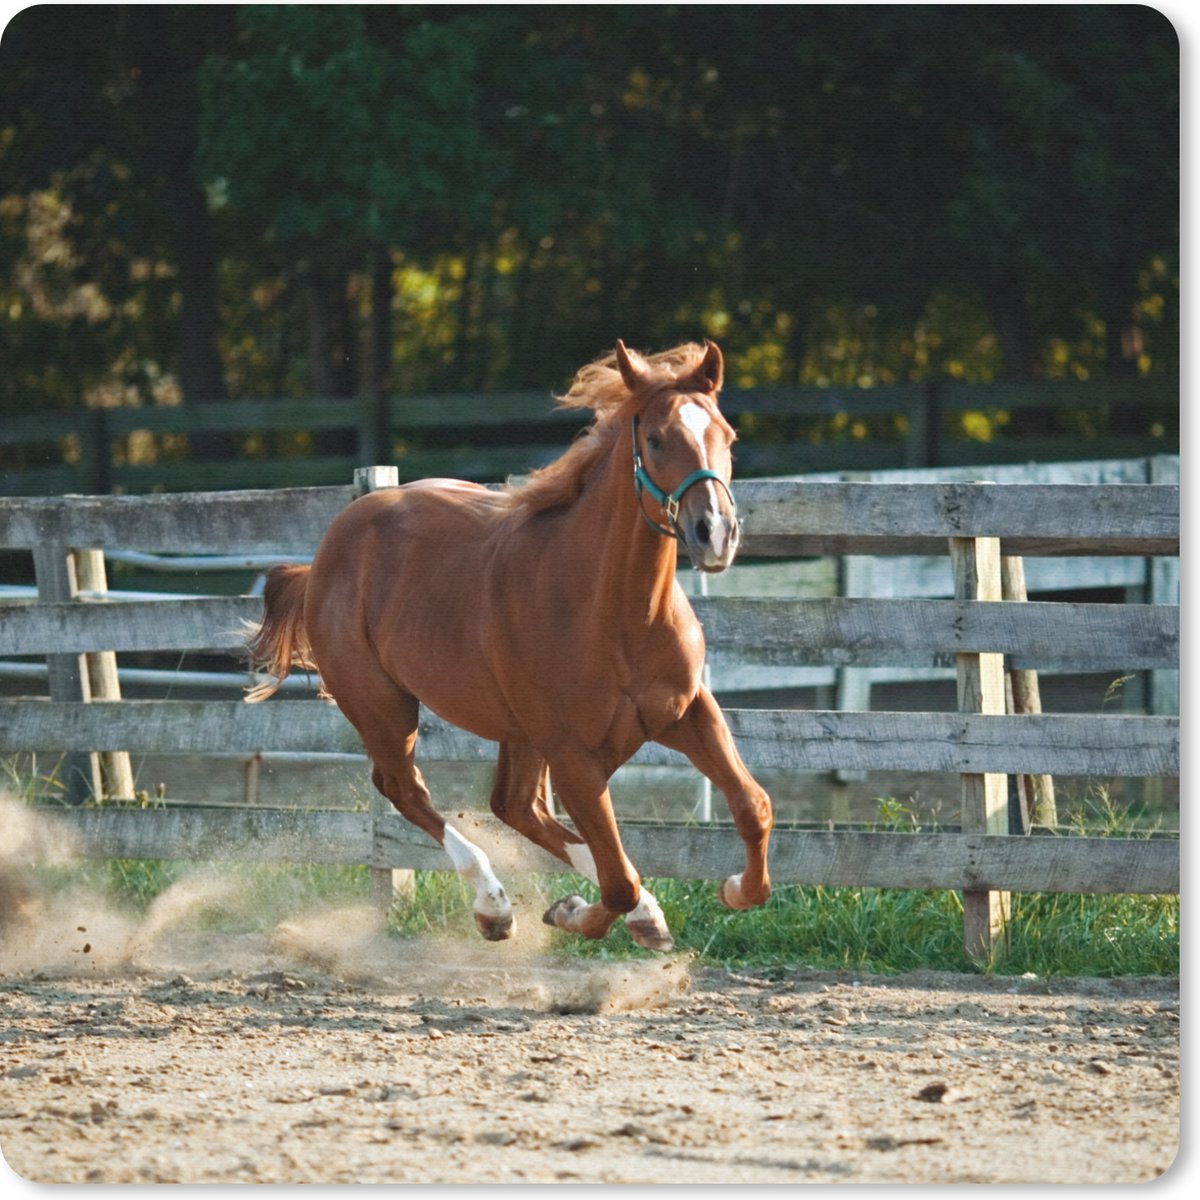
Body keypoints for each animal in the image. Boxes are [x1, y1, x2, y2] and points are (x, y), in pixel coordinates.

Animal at [246, 339, 773, 952]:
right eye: (657, 439)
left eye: (727, 435)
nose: (715, 533)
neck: (619, 614)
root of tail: (330, 548)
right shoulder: (573, 757)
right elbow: (617, 881)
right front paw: (572, 912)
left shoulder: (687, 714)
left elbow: (753, 807)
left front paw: (731, 891)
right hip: (383, 706)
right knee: (406, 789)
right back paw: (494, 906)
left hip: (516, 732)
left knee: (515, 806)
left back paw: (636, 913)